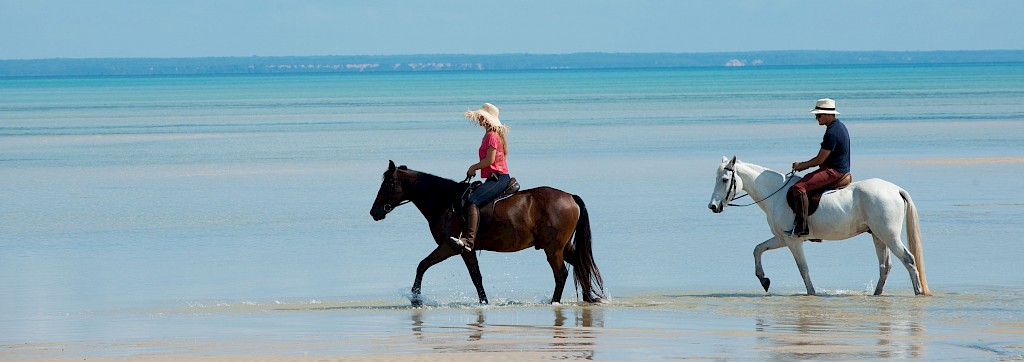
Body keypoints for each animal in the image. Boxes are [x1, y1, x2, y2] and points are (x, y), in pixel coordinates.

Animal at [370, 161, 602, 304]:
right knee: (580, 263)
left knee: (561, 274)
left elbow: (425, 266)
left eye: (387, 183)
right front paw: (484, 302)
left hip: (553, 249)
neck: (444, 201)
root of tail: (569, 196)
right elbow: (474, 276)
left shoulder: (452, 247)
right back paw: (589, 298)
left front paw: (416, 299)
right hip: (563, 246)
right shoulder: (463, 250)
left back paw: (555, 302)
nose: (374, 212)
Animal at [708, 156, 933, 296]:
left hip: (889, 235)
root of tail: (895, 189)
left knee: (908, 260)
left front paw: (811, 293)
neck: (776, 194)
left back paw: (917, 292)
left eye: (725, 179)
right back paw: (877, 294)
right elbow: (757, 249)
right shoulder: (782, 238)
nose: (713, 206)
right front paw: (764, 280)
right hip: (878, 236)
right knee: (885, 266)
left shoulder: (793, 241)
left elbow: (803, 269)